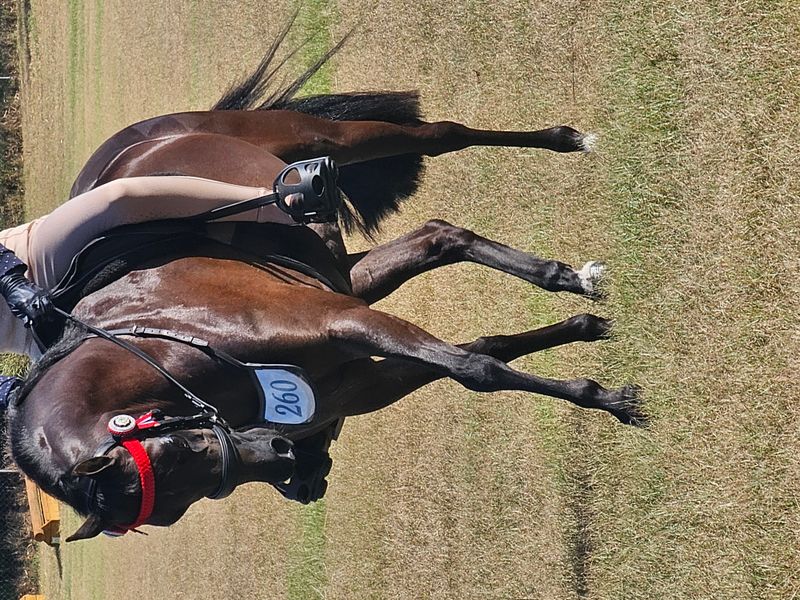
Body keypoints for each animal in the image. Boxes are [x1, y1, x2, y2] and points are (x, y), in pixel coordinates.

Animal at [8, 24, 644, 543]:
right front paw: (589, 342)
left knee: (442, 135)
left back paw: (565, 140)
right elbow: (477, 354)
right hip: (344, 272)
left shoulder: (340, 320)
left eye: (177, 454)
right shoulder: (353, 379)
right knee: (440, 236)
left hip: (320, 141)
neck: (170, 344)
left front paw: (613, 400)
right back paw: (572, 281)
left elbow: (475, 369)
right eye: (174, 503)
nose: (292, 462)